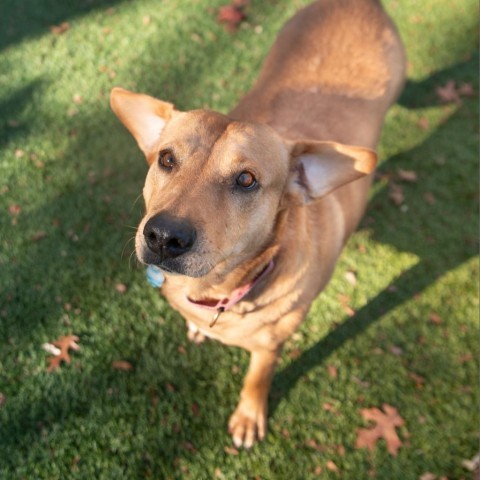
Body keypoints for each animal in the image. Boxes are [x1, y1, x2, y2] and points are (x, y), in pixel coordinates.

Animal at [111, 0, 404, 448]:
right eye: (166, 158)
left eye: (246, 179)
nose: (163, 237)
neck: (220, 291)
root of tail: (357, 3)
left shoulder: (270, 347)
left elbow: (257, 378)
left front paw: (249, 416)